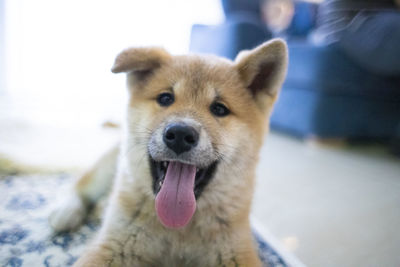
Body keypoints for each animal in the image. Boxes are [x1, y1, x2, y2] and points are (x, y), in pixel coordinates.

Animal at [49, 38, 288, 266]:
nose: (180, 134)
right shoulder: (113, 245)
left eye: (219, 109)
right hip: (106, 170)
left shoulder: (235, 251)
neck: (178, 228)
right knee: (79, 183)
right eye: (165, 98)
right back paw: (66, 211)